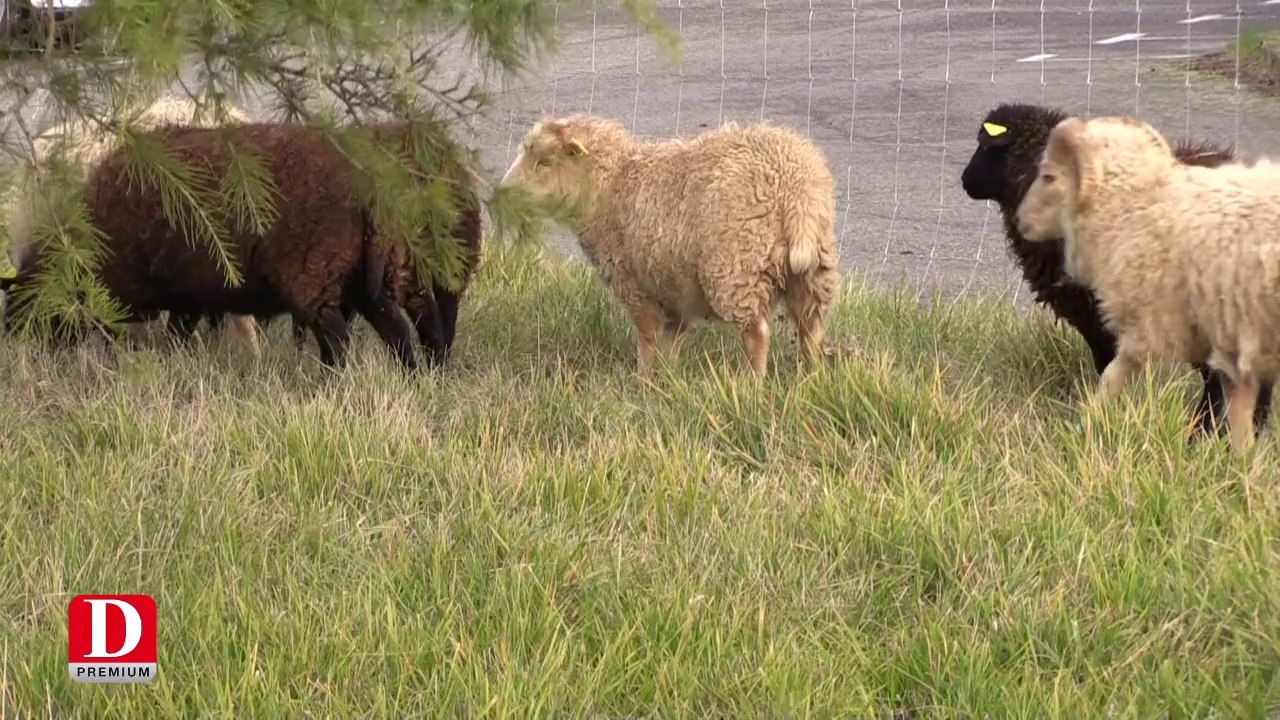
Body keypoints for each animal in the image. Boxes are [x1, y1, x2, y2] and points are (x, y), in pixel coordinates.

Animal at [3, 120, 484, 371]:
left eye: (26, 300)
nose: (16, 343)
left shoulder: (125, 289)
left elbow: (125, 332)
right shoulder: (187, 290)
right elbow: (179, 330)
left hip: (316, 275)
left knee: (343, 338)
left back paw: (330, 384)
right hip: (369, 275)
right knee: (409, 328)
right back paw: (422, 377)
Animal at [498, 114, 839, 377]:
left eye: (544, 161)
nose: (502, 192)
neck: (613, 186)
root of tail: (793, 187)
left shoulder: (635, 286)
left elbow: (647, 338)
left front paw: (644, 381)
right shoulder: (675, 289)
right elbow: (671, 340)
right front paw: (668, 379)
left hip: (736, 268)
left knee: (757, 333)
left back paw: (752, 383)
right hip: (813, 270)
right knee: (811, 330)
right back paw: (812, 378)